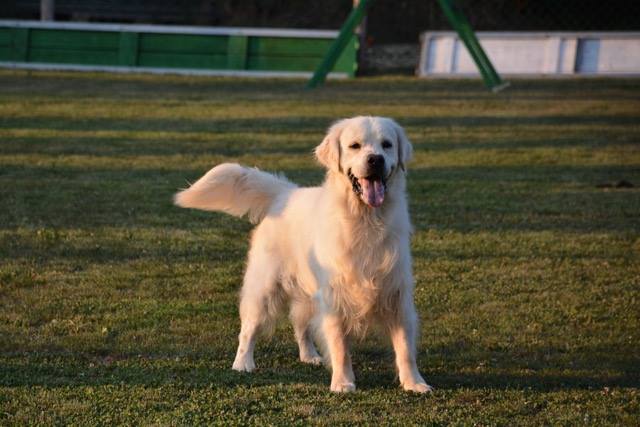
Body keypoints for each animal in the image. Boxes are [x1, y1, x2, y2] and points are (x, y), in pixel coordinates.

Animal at [175, 115, 432, 392]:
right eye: (354, 146)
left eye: (387, 145)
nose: (375, 159)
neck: (366, 221)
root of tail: (285, 193)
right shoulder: (334, 296)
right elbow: (340, 346)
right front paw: (343, 382)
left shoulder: (397, 294)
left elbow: (405, 347)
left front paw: (414, 383)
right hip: (264, 287)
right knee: (248, 328)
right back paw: (243, 363)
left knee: (300, 324)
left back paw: (309, 355)